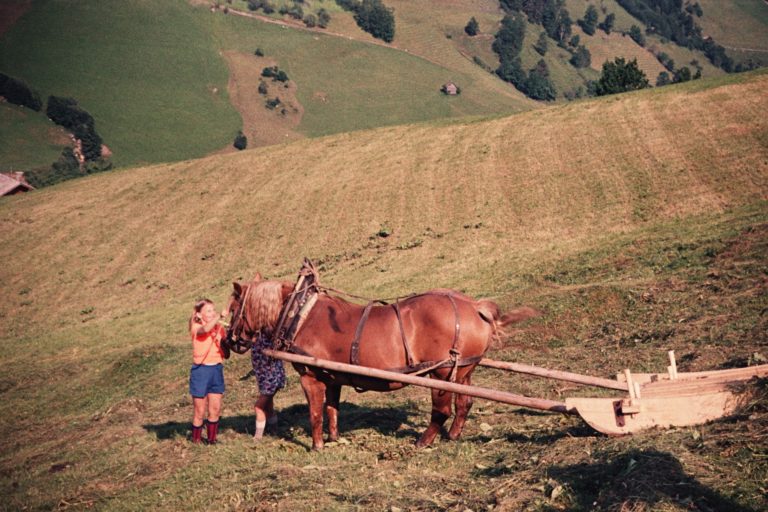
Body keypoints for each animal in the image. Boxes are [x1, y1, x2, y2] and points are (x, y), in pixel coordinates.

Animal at [225, 274, 536, 450]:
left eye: (232, 308)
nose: (228, 342)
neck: (300, 315)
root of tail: (474, 306)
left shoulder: (311, 376)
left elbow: (315, 412)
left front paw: (317, 445)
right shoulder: (332, 376)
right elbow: (332, 409)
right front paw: (334, 438)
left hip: (442, 373)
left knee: (442, 410)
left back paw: (424, 440)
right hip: (463, 372)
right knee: (464, 403)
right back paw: (453, 435)